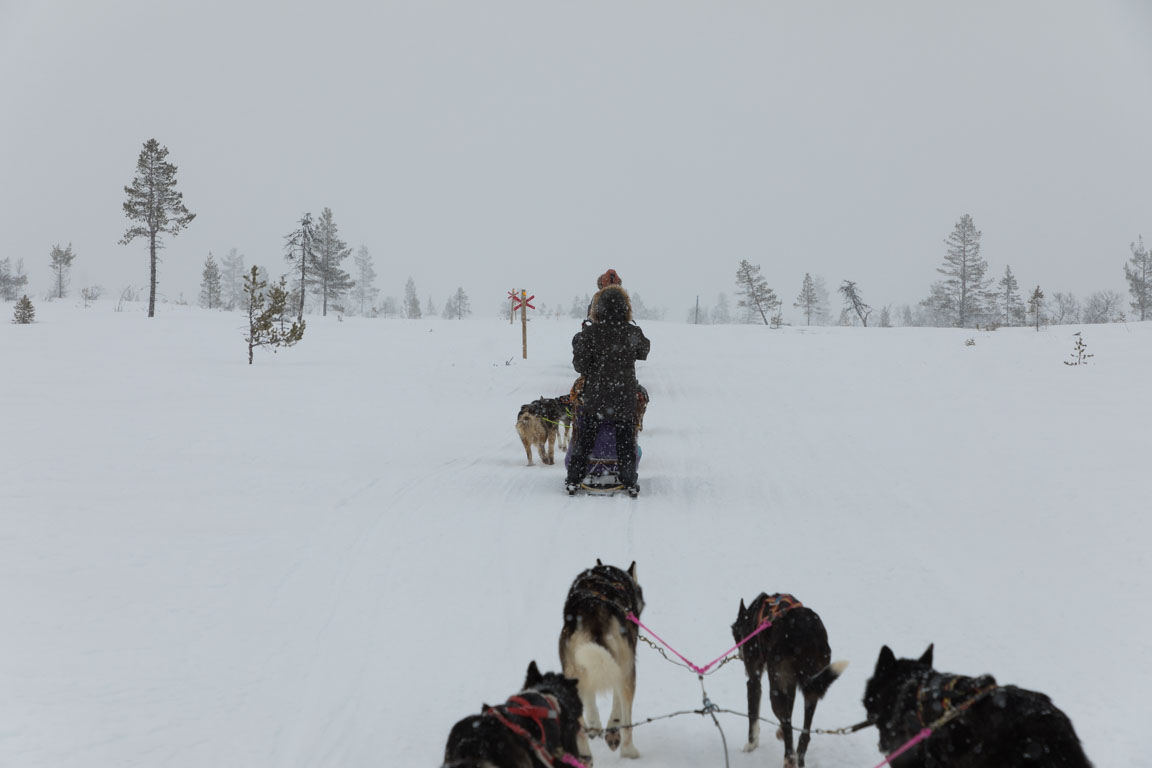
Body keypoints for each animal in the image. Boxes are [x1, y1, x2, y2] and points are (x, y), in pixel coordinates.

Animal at [559, 559, 649, 755]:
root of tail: (594, 608)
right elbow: (617, 706)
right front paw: (612, 729)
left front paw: (595, 727)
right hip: (626, 671)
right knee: (627, 723)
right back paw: (629, 752)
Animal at [737, 594, 847, 768]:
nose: (740, 655)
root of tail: (807, 635)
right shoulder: (791, 686)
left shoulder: (754, 680)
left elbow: (753, 716)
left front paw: (751, 745)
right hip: (811, 687)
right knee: (803, 734)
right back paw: (798, 755)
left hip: (776, 690)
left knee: (787, 726)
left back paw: (789, 758)